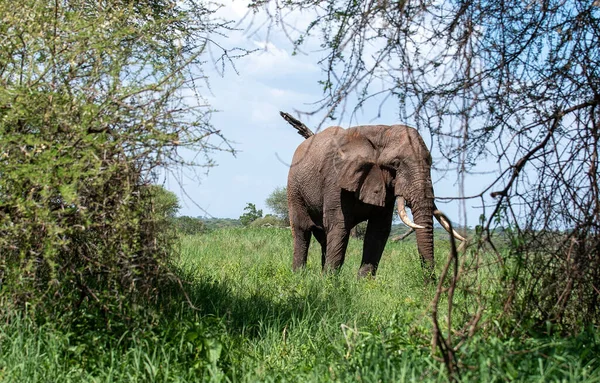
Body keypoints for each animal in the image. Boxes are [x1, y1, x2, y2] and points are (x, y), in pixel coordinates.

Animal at [282, 112, 464, 280]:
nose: (430, 284)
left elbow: (378, 230)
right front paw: (330, 283)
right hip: (294, 188)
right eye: (395, 164)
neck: (381, 133)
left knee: (323, 237)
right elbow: (339, 225)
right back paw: (299, 276)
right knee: (302, 231)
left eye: (430, 163)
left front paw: (363, 284)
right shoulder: (335, 179)